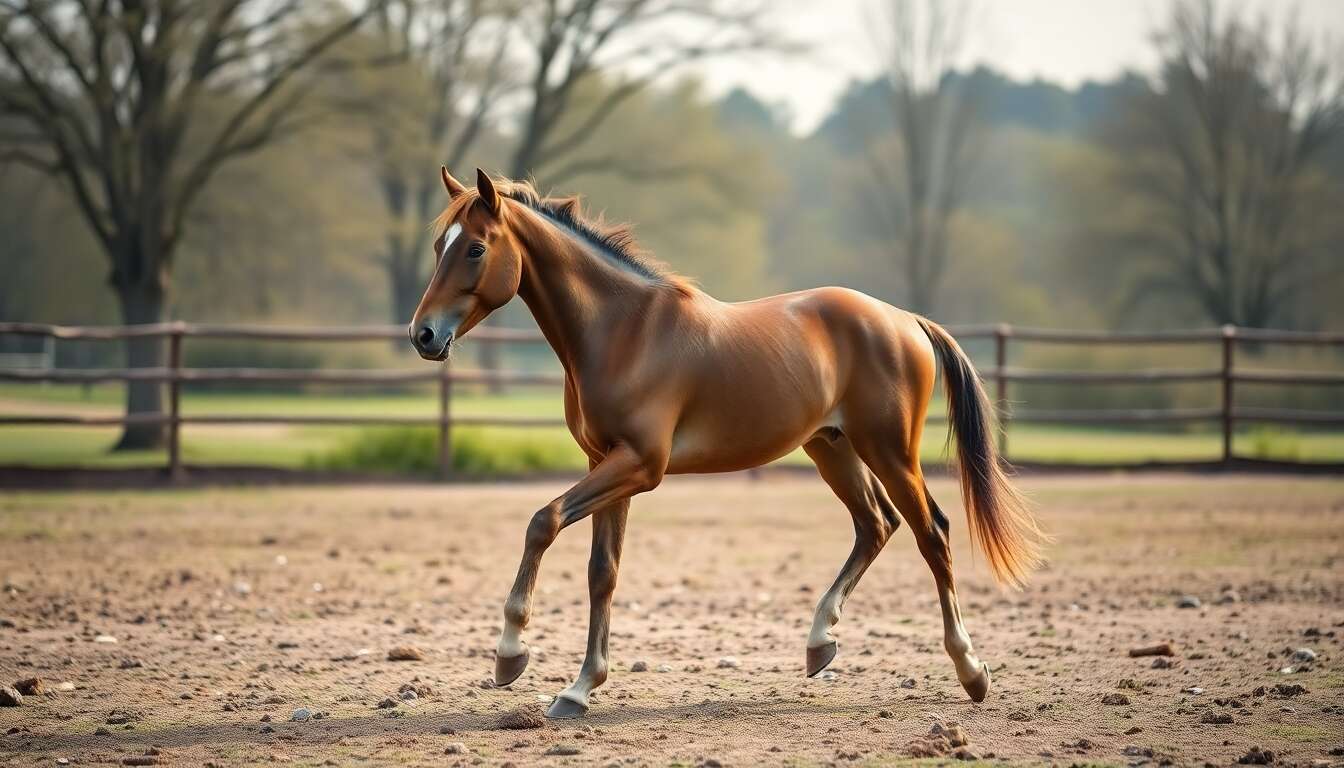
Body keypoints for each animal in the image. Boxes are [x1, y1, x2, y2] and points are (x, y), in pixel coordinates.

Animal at [410, 167, 1045, 719]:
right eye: (440, 243)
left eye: (474, 249)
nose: (424, 335)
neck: (622, 330)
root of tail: (905, 319)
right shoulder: (608, 463)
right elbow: (602, 571)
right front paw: (579, 689)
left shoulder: (639, 465)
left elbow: (543, 521)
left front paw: (510, 654)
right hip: (832, 447)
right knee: (876, 524)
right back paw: (820, 642)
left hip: (888, 450)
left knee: (930, 532)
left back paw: (971, 671)